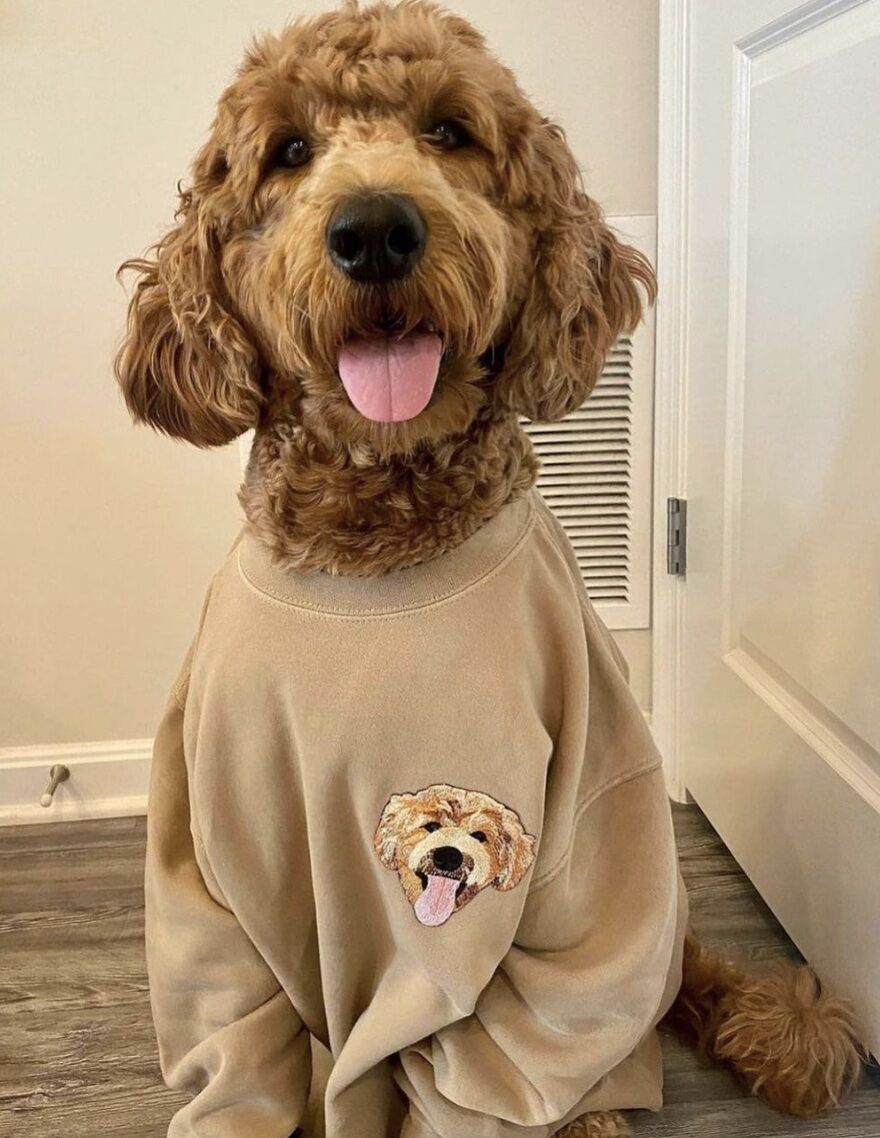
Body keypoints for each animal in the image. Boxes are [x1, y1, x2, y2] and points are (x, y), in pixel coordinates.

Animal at [113, 4, 860, 1133]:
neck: (375, 549)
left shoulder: (581, 809)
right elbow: (237, 1038)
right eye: (288, 150)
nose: (375, 228)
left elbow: (498, 1039)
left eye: (450, 131)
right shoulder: (207, 858)